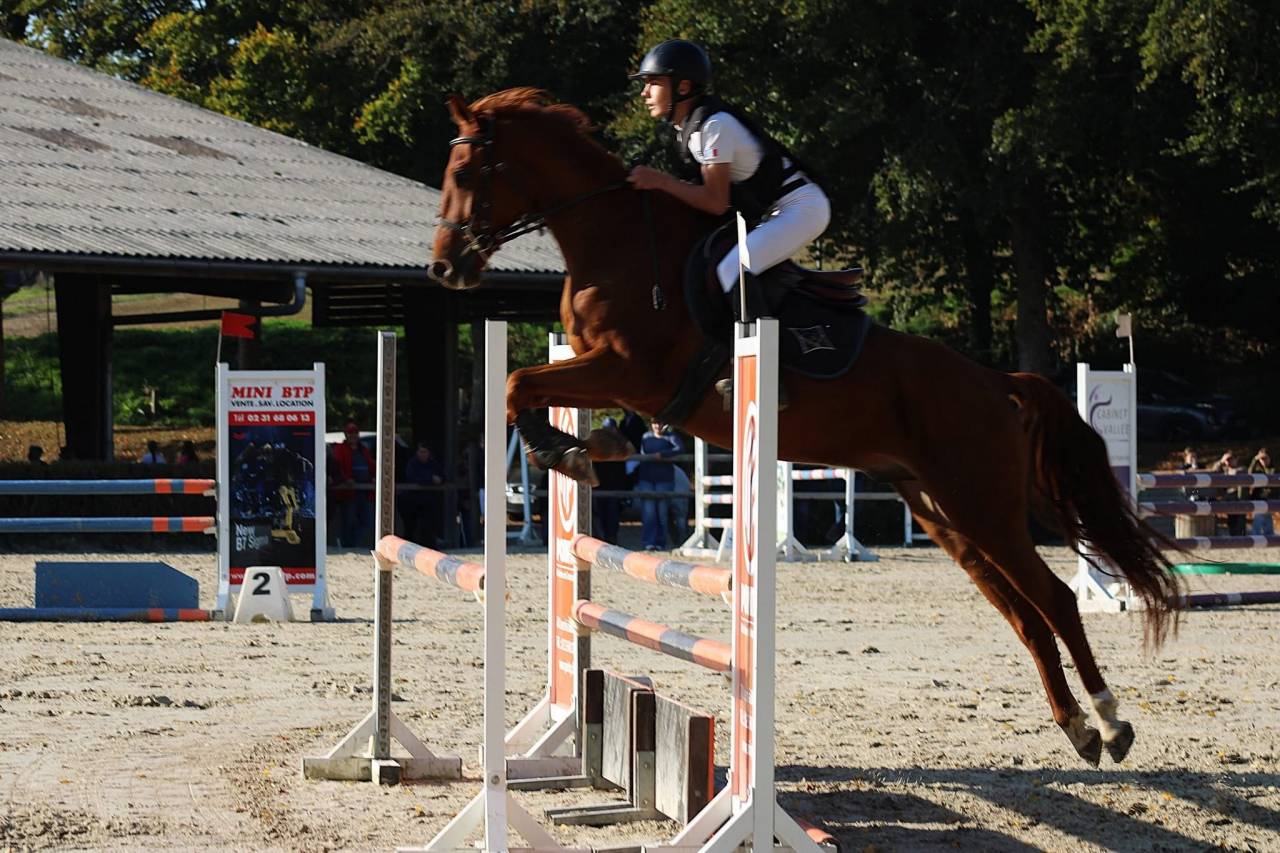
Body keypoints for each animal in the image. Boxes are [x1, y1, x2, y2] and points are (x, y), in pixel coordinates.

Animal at [428, 88, 1183, 768]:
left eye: (467, 174)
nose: (443, 267)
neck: (615, 242)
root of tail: (997, 383)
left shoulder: (624, 367)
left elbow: (517, 383)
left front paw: (563, 449)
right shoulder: (607, 371)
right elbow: (524, 389)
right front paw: (583, 447)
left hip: (984, 506)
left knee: (1054, 598)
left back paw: (1111, 722)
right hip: (944, 515)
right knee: (1025, 615)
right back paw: (1078, 728)